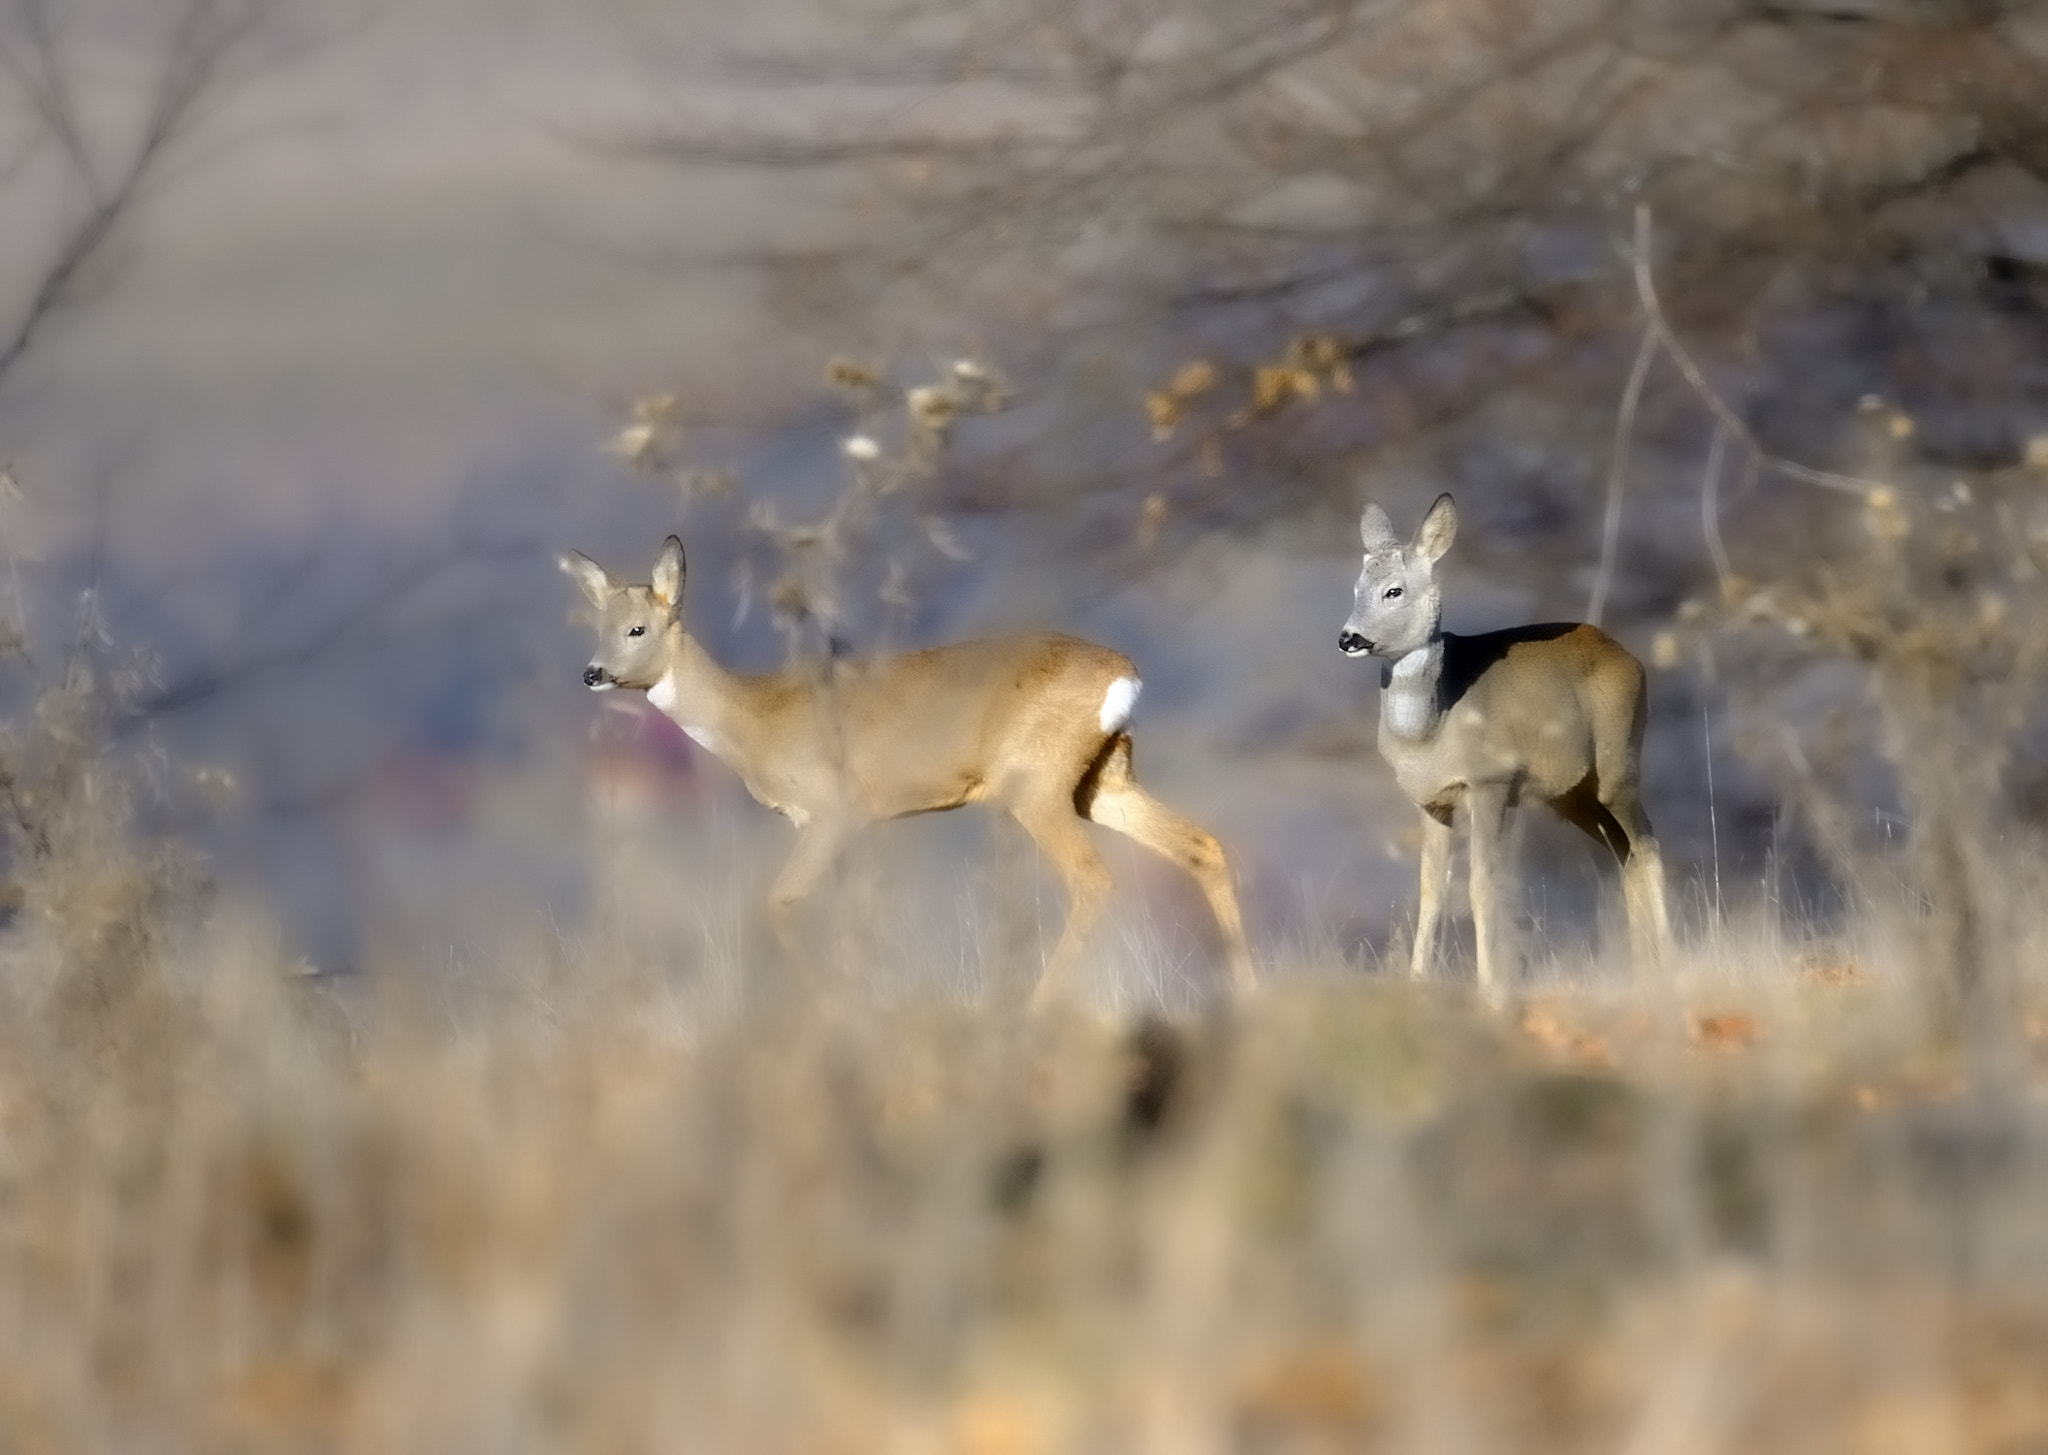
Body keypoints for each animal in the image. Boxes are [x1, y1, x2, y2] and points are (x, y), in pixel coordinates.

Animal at [561, 536, 1255, 1006]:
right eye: (598, 626)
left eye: (637, 628)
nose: (592, 674)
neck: (756, 717)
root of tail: (1126, 674)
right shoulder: (845, 828)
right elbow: (846, 914)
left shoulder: (835, 811)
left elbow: (779, 904)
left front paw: (832, 1007)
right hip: (1102, 778)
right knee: (1201, 845)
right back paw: (1247, 990)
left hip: (1036, 783)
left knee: (1094, 880)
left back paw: (1034, 1009)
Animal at [1338, 494, 1670, 995]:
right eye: (1357, 586)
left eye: (1393, 591)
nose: (1348, 638)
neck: (1433, 726)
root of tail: (1628, 656)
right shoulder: (1431, 801)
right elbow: (1431, 890)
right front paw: (1418, 982)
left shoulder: (1490, 782)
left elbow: (1483, 884)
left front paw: (1491, 987)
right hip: (1573, 795)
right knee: (1625, 852)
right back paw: (1641, 966)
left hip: (1620, 764)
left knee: (1648, 844)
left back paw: (1672, 960)